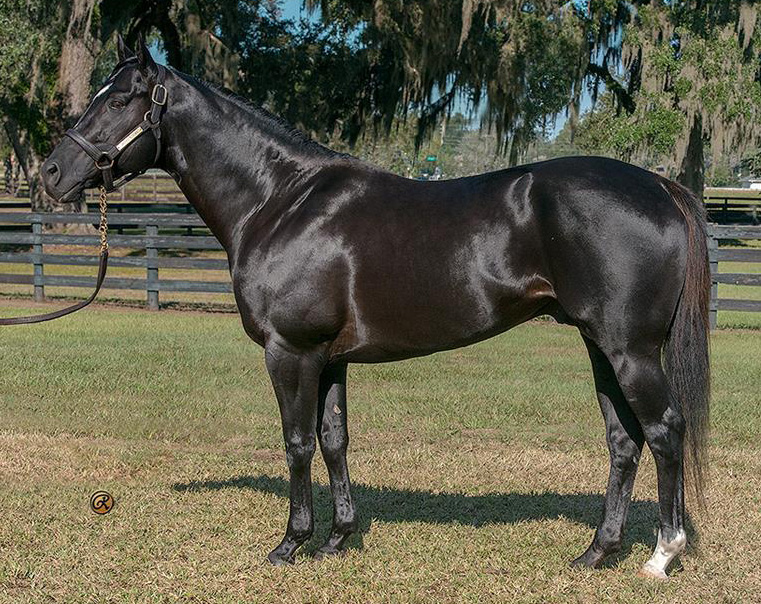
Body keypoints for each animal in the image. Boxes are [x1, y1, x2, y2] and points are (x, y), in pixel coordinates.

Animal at [41, 36, 710, 579]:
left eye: (119, 100)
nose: (50, 173)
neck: (280, 201)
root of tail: (659, 186)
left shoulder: (291, 352)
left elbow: (297, 442)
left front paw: (291, 544)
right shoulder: (330, 358)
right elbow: (334, 439)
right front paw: (338, 539)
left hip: (630, 351)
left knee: (664, 431)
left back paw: (662, 554)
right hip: (600, 347)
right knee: (623, 441)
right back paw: (596, 553)